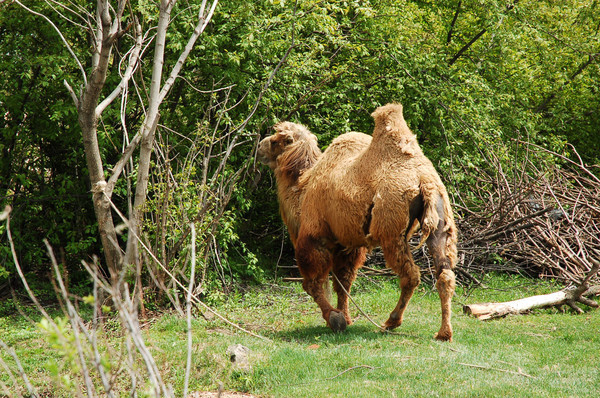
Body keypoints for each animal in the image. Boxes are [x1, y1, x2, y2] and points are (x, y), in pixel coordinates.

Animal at [255, 103, 458, 342]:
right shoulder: (348, 243)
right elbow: (344, 281)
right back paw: (444, 332)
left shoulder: (314, 236)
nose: (260, 146)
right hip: (440, 218)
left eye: (276, 140)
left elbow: (313, 283)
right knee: (444, 273)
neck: (302, 188)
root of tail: (424, 180)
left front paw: (335, 319)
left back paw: (392, 321)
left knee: (410, 275)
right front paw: (346, 317)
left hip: (391, 230)